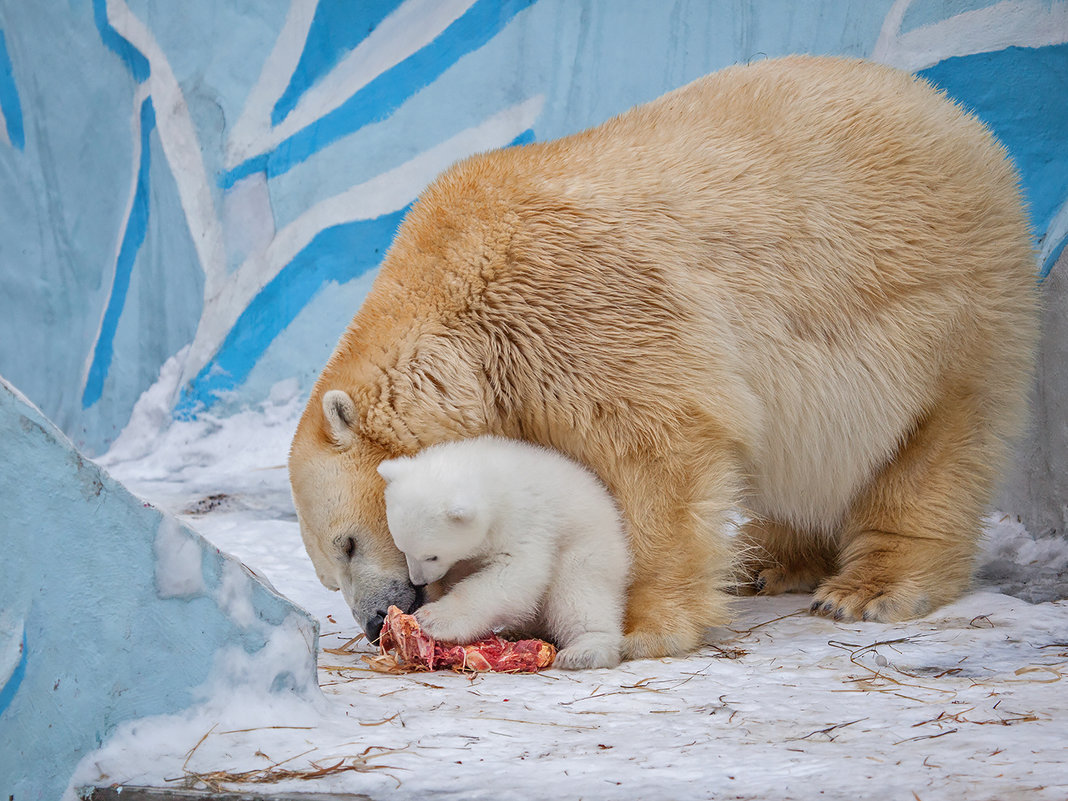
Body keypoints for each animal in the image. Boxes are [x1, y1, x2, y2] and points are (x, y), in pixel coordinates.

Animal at [286, 55, 1033, 657]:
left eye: (347, 542)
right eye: (327, 566)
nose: (375, 619)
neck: (460, 290)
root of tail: (960, 118)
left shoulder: (583, 306)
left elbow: (657, 449)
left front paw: (643, 625)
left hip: (942, 305)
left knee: (934, 441)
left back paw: (870, 586)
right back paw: (768, 560)